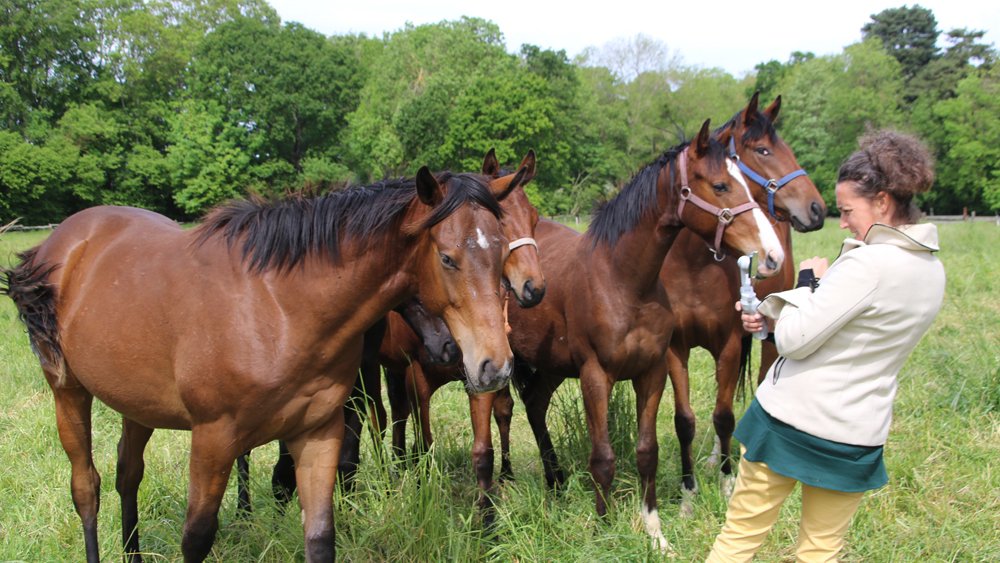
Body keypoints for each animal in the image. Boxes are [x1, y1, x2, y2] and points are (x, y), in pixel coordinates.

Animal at [1, 167, 520, 562]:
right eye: (448, 258)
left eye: (501, 252)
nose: (492, 366)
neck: (278, 307)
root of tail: (62, 244)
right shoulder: (213, 440)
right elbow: (196, 539)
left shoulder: (318, 433)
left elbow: (320, 538)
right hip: (67, 391)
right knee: (85, 488)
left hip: (137, 405)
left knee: (127, 475)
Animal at [507, 120, 784, 551]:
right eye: (721, 185)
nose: (772, 255)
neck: (623, 280)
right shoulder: (595, 376)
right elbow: (603, 456)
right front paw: (604, 529)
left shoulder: (651, 373)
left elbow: (647, 451)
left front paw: (654, 532)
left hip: (552, 366)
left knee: (535, 405)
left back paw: (556, 484)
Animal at [662, 93, 828, 517]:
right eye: (764, 149)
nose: (817, 209)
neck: (691, 266)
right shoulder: (675, 349)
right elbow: (685, 420)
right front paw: (688, 496)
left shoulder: (730, 343)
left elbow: (724, 415)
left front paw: (726, 484)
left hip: (766, 339)